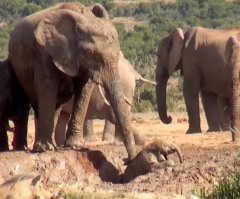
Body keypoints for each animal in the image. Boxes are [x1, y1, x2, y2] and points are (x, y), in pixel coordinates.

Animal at [7, 2, 137, 159]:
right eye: (92, 54)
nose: (128, 160)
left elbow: (84, 89)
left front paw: (75, 145)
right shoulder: (44, 52)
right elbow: (47, 87)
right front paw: (45, 149)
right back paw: (37, 147)